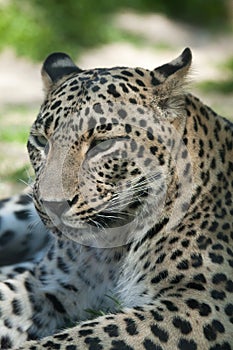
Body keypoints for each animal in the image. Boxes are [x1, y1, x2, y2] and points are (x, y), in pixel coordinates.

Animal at [0, 47, 233, 350]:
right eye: (41, 141)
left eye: (103, 144)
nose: (52, 206)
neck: (113, 248)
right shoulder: (47, 283)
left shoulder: (200, 305)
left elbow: (79, 338)